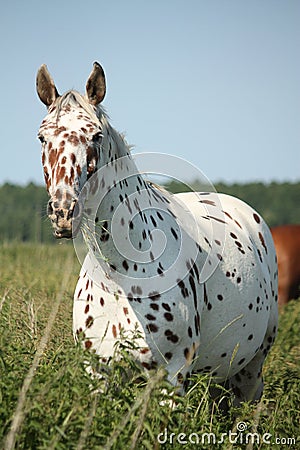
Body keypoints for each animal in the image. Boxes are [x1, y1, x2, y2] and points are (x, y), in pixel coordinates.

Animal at [36, 61, 278, 406]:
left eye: (96, 135)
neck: (120, 277)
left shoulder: (171, 378)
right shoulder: (97, 374)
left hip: (250, 370)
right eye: (42, 137)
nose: (64, 212)